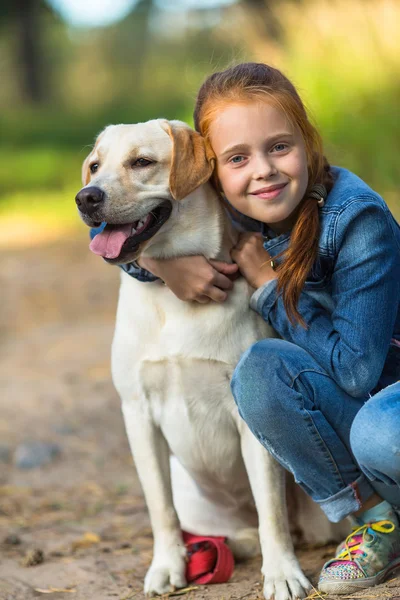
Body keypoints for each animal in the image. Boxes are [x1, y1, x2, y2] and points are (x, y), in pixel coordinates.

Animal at [76, 120, 346, 600]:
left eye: (141, 162)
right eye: (94, 166)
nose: (86, 197)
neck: (174, 297)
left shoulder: (247, 421)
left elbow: (271, 510)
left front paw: (283, 574)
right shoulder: (137, 414)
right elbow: (159, 508)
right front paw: (168, 566)